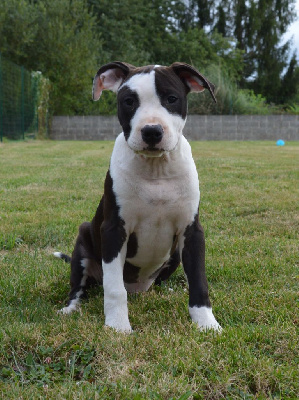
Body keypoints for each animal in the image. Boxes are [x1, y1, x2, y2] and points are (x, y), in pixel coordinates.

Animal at [54, 61, 223, 332]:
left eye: (171, 98)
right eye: (129, 101)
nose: (151, 131)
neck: (156, 169)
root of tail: (139, 289)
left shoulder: (192, 231)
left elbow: (198, 279)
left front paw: (207, 324)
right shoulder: (114, 230)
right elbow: (114, 288)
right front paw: (117, 327)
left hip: (175, 254)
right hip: (83, 245)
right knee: (79, 288)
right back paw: (71, 308)